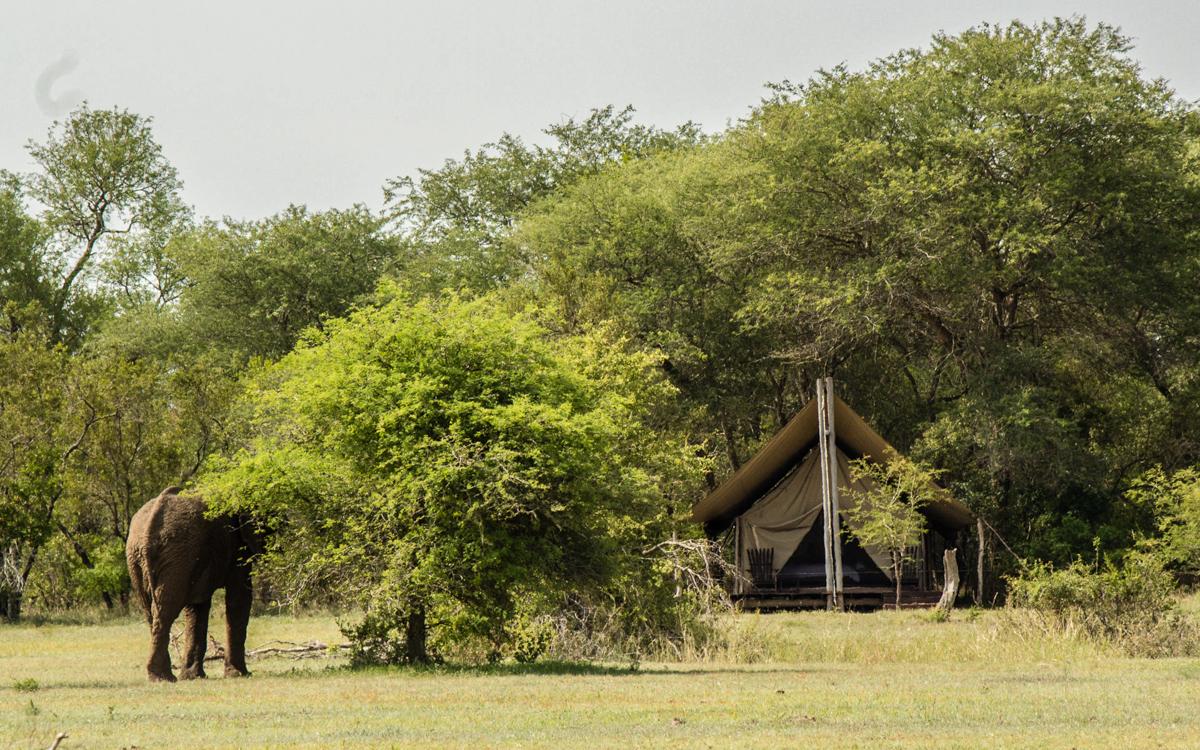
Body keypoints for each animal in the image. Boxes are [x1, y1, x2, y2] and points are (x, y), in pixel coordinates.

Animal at [126, 486, 262, 682]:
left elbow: (197, 607)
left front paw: (193, 677)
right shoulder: (236, 545)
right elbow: (239, 599)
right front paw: (240, 674)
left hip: (143, 559)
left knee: (151, 611)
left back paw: (164, 677)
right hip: (177, 556)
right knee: (166, 611)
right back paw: (163, 678)